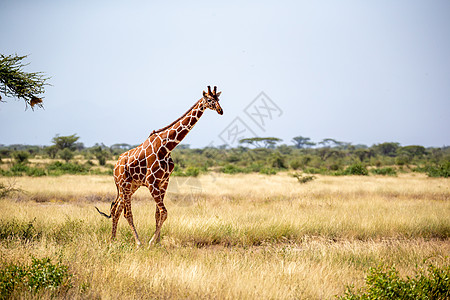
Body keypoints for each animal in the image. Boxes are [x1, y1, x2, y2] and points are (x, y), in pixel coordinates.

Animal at [96, 85, 222, 245]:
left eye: (219, 99)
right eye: (210, 100)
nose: (221, 110)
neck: (167, 147)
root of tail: (114, 167)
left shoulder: (164, 182)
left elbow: (158, 214)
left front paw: (158, 242)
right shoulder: (152, 182)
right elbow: (164, 212)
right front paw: (151, 242)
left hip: (131, 187)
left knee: (116, 210)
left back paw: (113, 240)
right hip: (124, 185)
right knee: (126, 213)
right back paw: (138, 242)